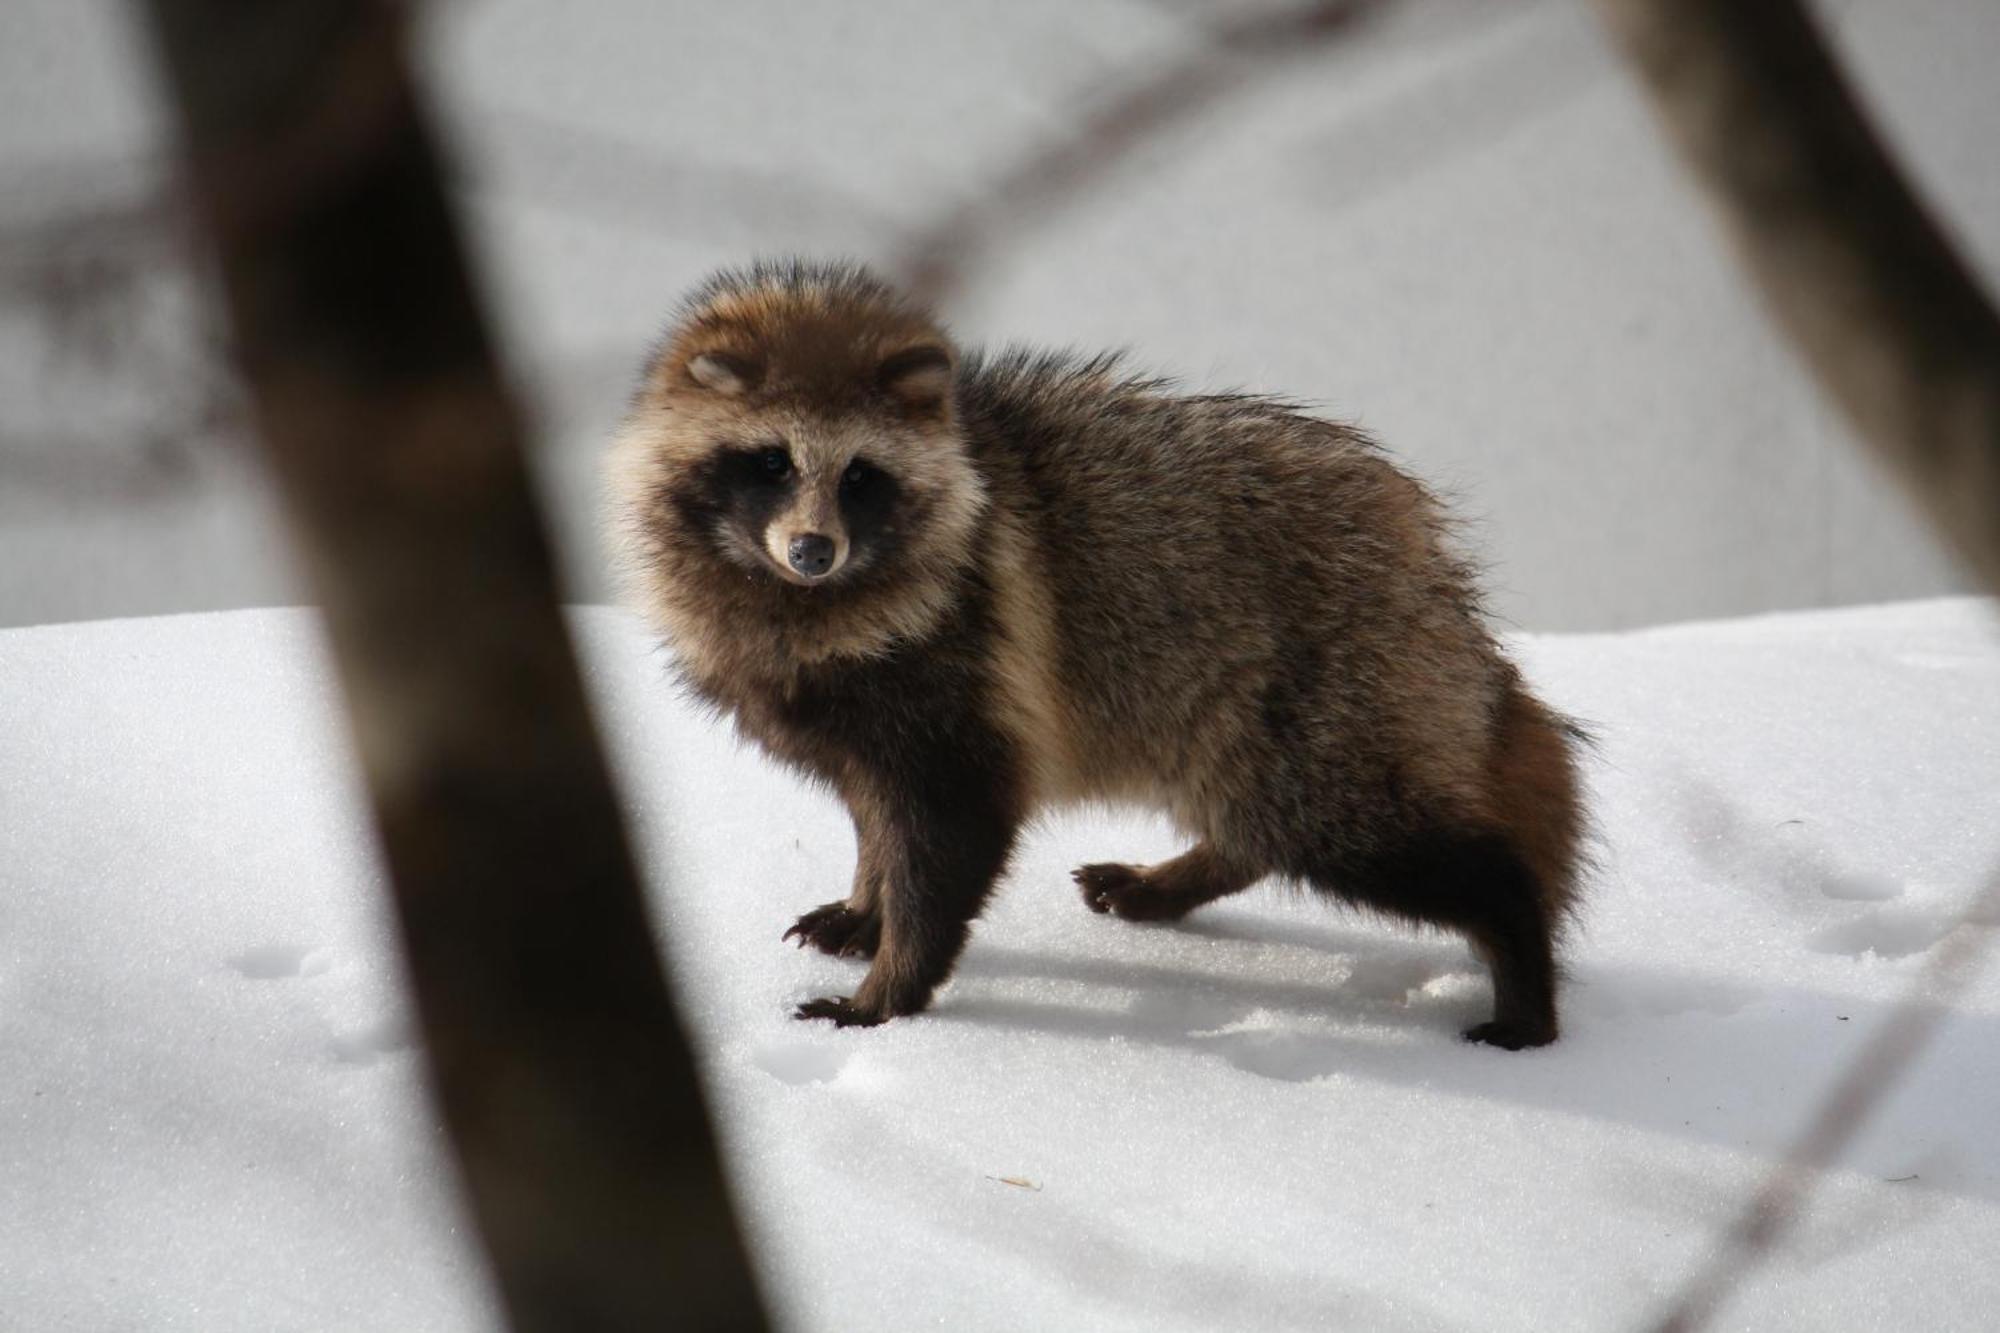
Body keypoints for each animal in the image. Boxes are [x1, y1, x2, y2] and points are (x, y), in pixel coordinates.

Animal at [604, 262, 1576, 1048]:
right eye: (770, 461)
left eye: (858, 477)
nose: (813, 551)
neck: (802, 601)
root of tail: (1426, 561)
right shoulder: (853, 725)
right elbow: (878, 826)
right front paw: (866, 907)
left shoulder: (961, 686)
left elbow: (947, 839)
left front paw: (890, 990)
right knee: (1259, 818)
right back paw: (1184, 874)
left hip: (1328, 701)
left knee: (1378, 835)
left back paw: (1521, 957)